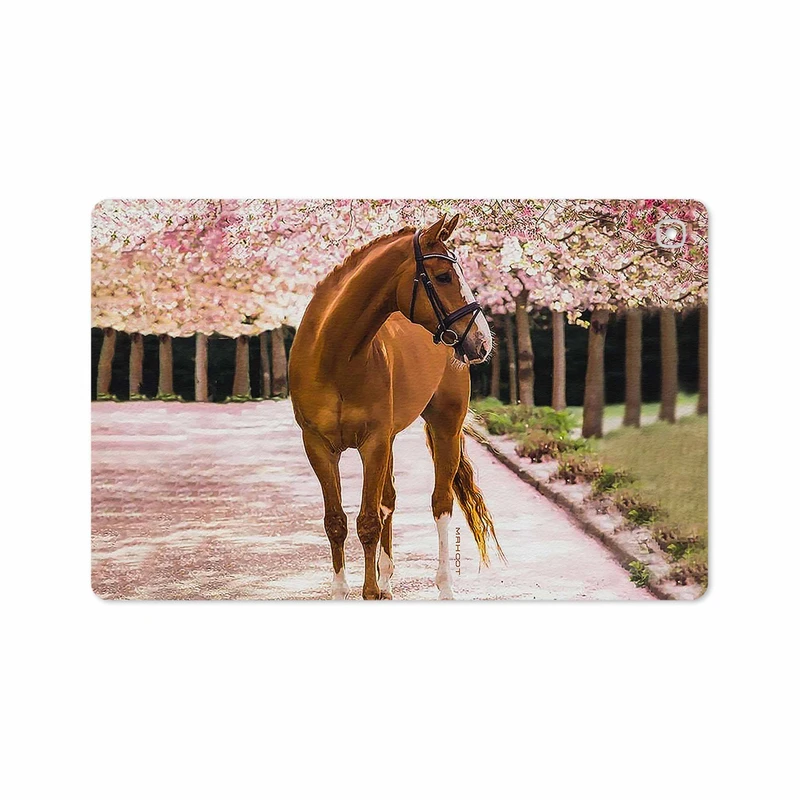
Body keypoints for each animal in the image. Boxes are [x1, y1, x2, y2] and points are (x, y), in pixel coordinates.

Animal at [289, 214, 503, 599]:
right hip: (388, 440)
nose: (481, 341)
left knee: (440, 503)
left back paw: (443, 587)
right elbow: (336, 521)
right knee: (388, 499)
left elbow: (368, 521)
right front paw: (345, 590)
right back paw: (388, 578)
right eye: (444, 276)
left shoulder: (372, 443)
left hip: (444, 428)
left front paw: (370, 592)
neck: (334, 357)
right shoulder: (318, 446)